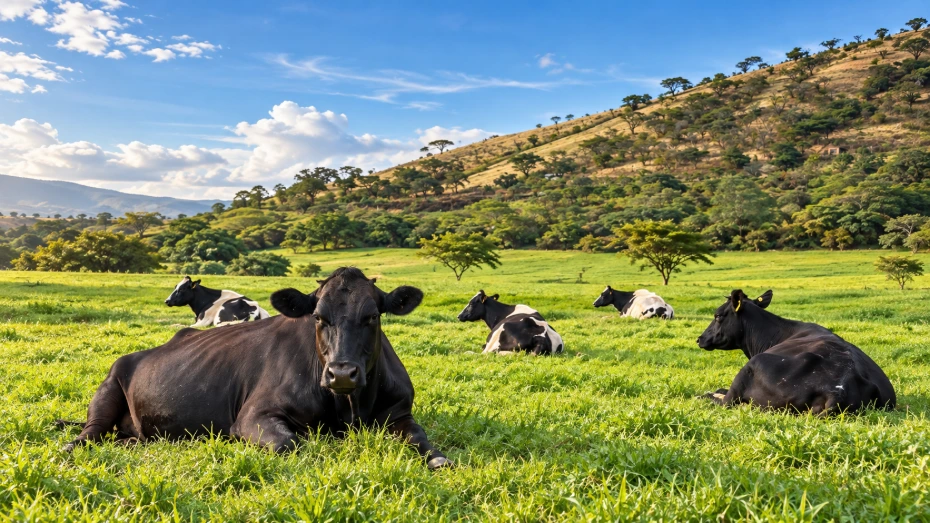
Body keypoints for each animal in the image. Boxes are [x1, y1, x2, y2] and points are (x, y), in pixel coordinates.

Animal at [61, 267, 450, 470]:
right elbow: (291, 445)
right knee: (90, 432)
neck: (349, 408)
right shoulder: (253, 416)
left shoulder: (399, 412)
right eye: (318, 317)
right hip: (109, 386)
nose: (341, 373)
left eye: (372, 316)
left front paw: (438, 459)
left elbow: (423, 441)